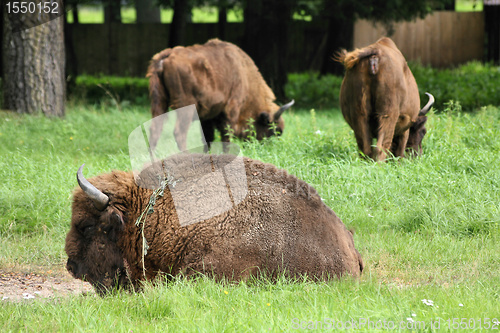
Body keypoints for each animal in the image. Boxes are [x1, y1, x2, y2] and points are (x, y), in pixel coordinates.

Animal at [145, 37, 292, 149]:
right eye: (275, 130)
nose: (269, 148)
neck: (244, 74)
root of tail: (167, 56)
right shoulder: (231, 110)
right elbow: (226, 136)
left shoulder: (207, 118)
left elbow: (208, 138)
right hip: (186, 108)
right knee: (179, 133)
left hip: (159, 102)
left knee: (155, 131)